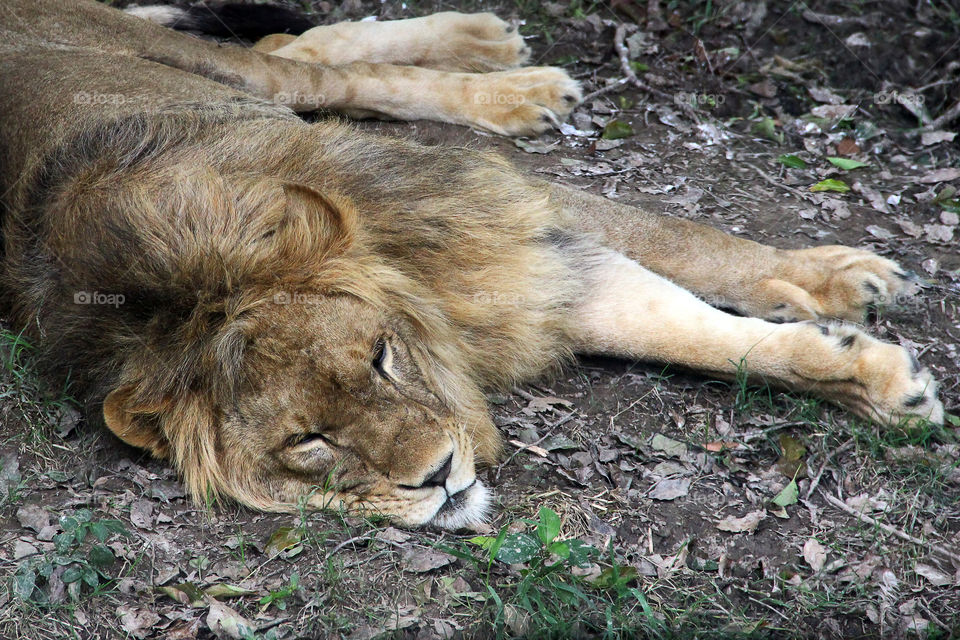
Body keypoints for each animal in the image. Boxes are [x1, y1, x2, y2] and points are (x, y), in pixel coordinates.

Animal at [0, 0, 944, 528]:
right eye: (308, 440)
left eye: (382, 359)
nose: (439, 477)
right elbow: (688, 331)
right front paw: (869, 377)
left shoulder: (502, 221)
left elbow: (690, 254)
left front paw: (838, 293)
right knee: (307, 52)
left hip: (205, 68)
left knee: (315, 67)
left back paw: (504, 66)